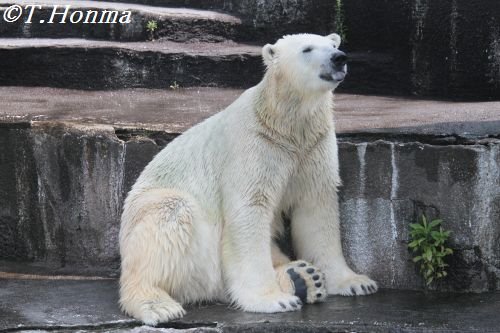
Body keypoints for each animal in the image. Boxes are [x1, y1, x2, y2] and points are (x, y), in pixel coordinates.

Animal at [120, 33, 376, 324]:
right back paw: (158, 305)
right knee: (170, 218)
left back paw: (302, 277)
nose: (339, 58)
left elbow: (317, 209)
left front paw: (355, 282)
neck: (284, 123)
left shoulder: (313, 146)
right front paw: (272, 299)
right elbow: (250, 212)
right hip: (156, 218)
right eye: (307, 49)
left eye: (332, 45)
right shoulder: (255, 145)